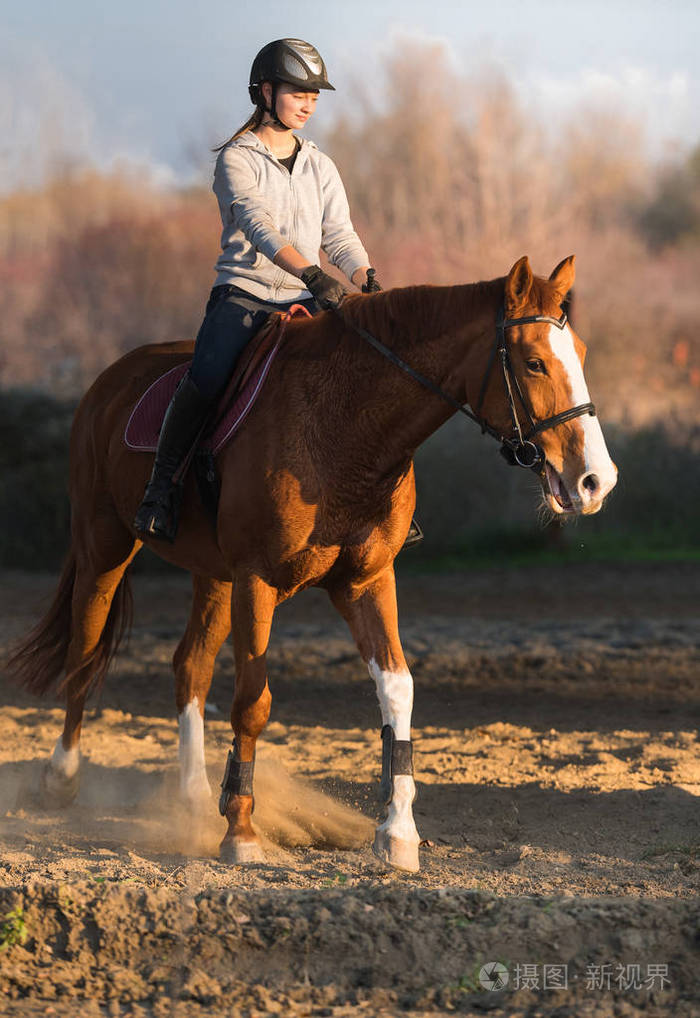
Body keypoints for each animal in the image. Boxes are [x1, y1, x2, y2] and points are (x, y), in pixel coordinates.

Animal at [6, 255, 617, 873]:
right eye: (534, 362)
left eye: (581, 352)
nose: (596, 481)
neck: (345, 427)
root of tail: (109, 379)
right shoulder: (257, 579)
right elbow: (253, 702)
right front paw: (241, 832)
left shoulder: (366, 581)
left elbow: (397, 689)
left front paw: (398, 834)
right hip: (105, 548)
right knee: (85, 653)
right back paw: (61, 779)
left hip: (214, 576)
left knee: (189, 667)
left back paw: (194, 801)